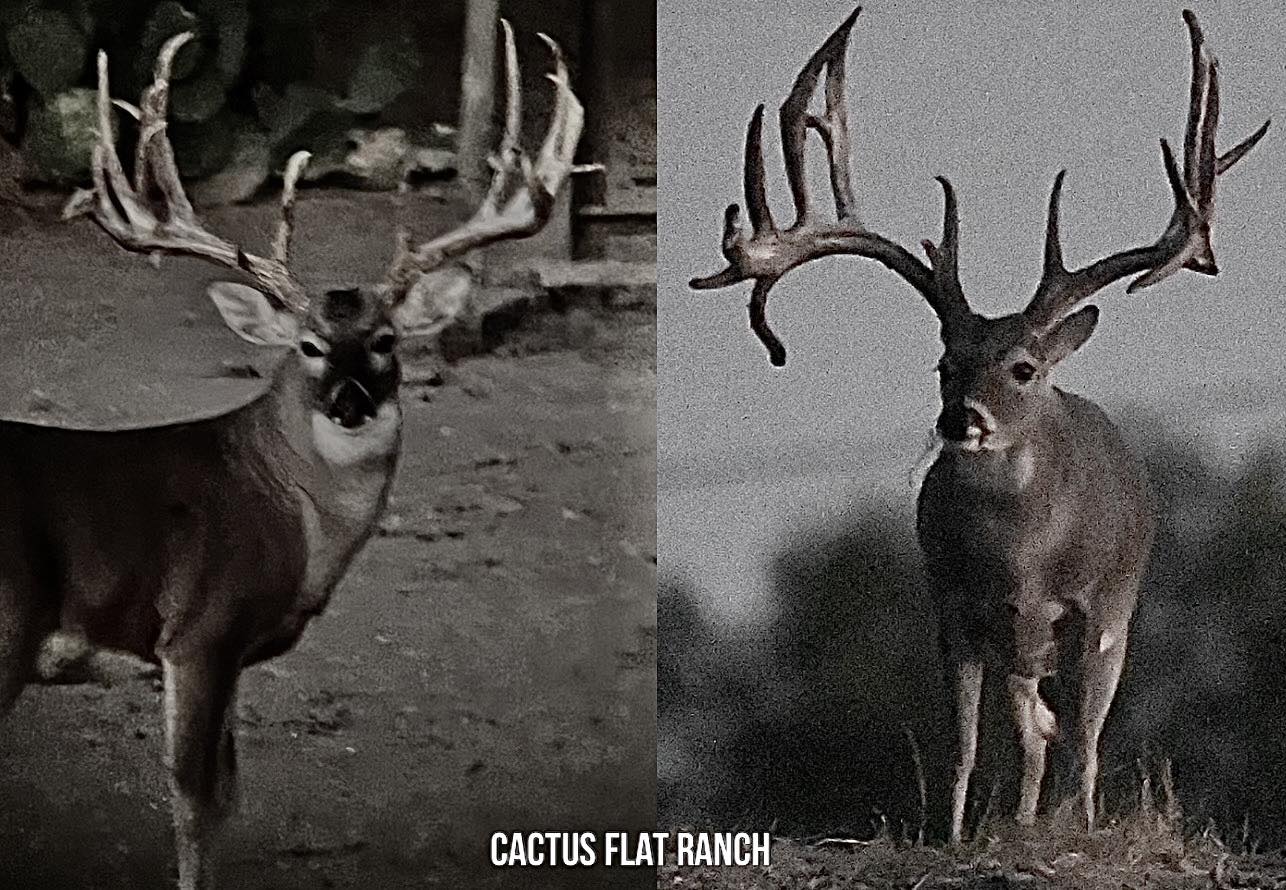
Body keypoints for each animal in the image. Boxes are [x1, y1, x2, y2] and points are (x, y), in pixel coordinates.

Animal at [0, 22, 585, 890]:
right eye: (308, 345)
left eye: (384, 341)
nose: (350, 401)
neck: (286, 511)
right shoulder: (200, 628)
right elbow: (195, 804)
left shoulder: (232, 651)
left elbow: (229, 799)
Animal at [690, 7, 1268, 844]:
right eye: (944, 364)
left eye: (1022, 368)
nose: (961, 417)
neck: (1022, 557)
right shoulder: (954, 611)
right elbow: (963, 745)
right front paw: (956, 837)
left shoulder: (1096, 613)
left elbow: (1085, 745)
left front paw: (1076, 830)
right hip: (1015, 652)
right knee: (1032, 732)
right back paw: (1020, 820)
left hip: (1109, 618)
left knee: (1071, 737)